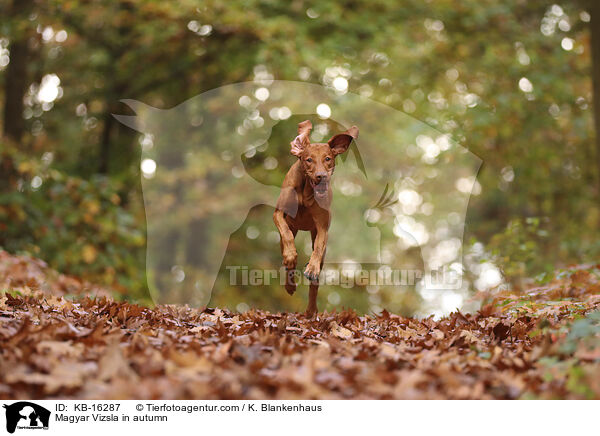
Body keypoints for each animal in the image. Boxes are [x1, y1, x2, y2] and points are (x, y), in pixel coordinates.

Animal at [274, 119, 358, 316]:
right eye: (309, 159)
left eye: (328, 158)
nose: (321, 176)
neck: (306, 192)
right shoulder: (279, 214)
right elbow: (287, 236)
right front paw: (291, 256)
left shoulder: (322, 228)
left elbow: (318, 249)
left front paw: (311, 268)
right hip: (291, 229)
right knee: (286, 256)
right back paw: (290, 281)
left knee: (316, 280)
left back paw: (311, 309)